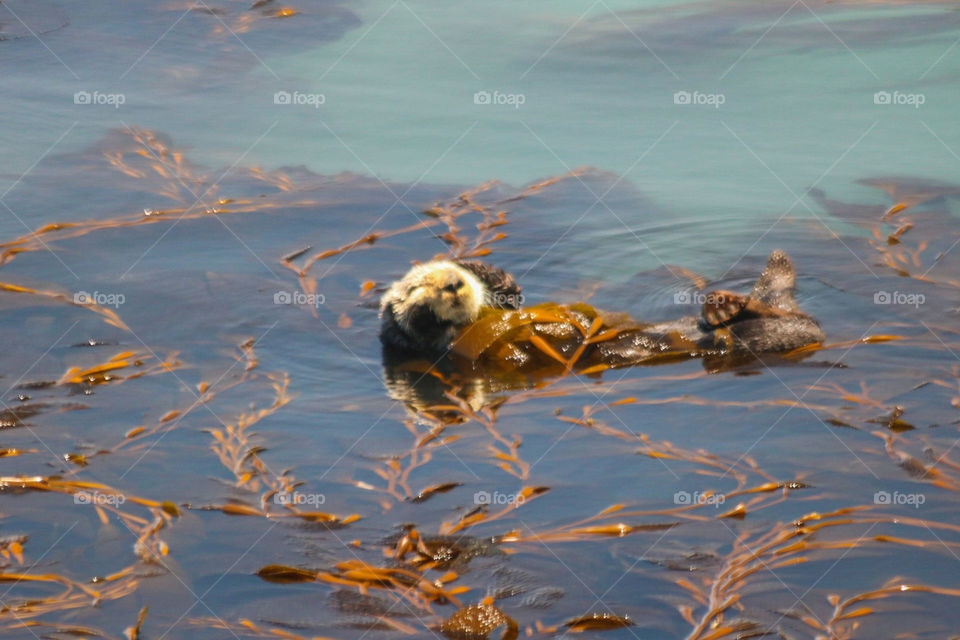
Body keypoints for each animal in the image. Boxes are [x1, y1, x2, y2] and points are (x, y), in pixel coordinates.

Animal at [379, 250, 824, 370]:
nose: (452, 284)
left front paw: (477, 269)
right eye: (417, 286)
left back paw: (723, 303)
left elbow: (512, 296)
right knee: (797, 324)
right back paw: (727, 310)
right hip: (774, 334)